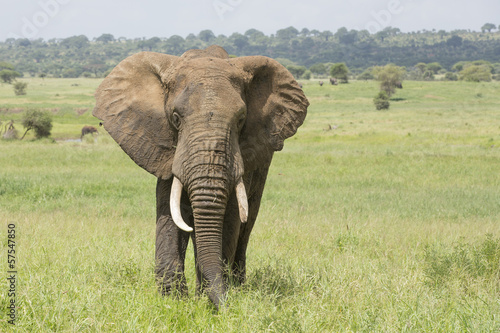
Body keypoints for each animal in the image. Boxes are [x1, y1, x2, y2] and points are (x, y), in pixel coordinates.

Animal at [92, 44, 306, 308]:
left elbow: (231, 218)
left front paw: (204, 298)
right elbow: (170, 213)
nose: (224, 307)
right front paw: (173, 301)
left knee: (248, 222)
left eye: (241, 119)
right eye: (175, 118)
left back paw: (237, 285)